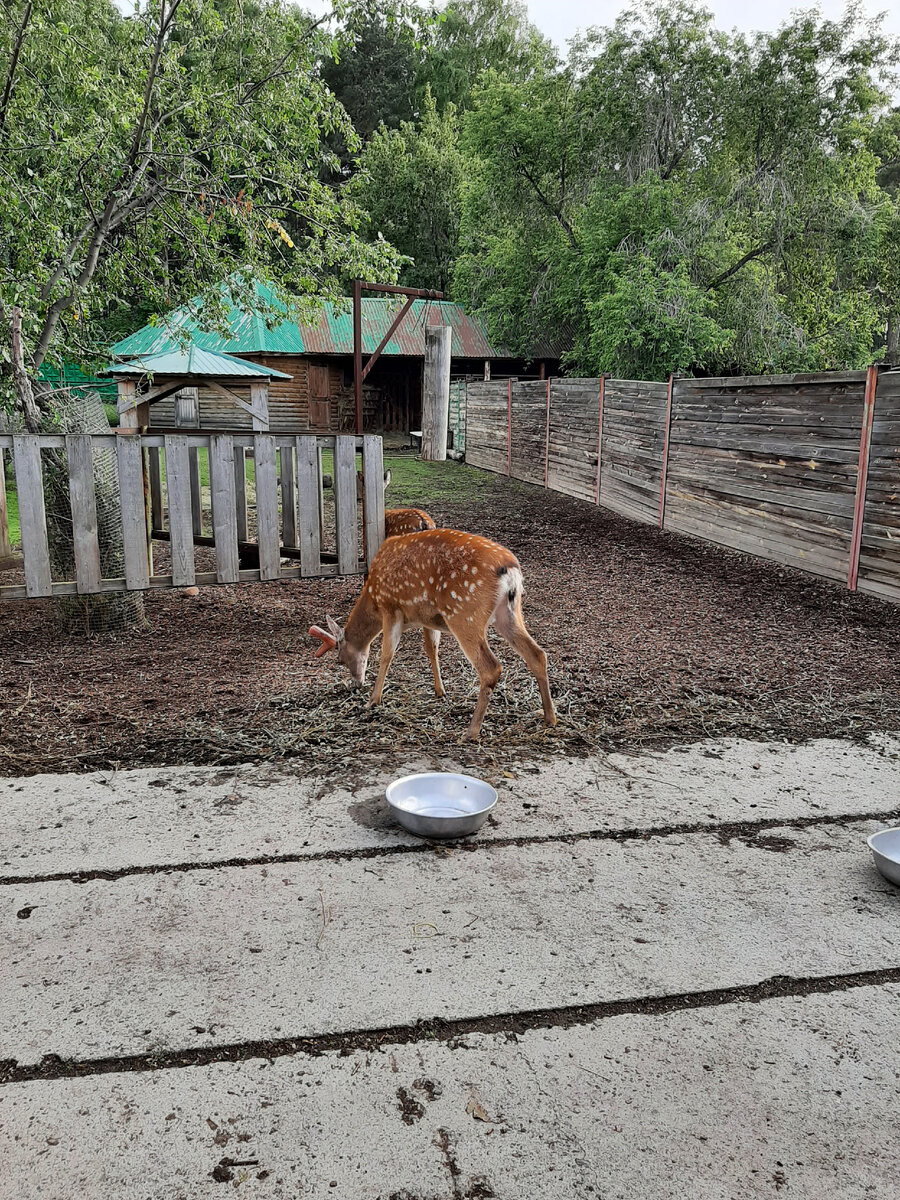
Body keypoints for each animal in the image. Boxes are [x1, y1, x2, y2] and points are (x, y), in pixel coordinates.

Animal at [309, 528, 556, 734]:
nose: (355, 685)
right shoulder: (427, 620)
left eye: (339, 659)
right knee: (537, 654)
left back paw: (470, 732)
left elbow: (387, 654)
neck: (373, 599)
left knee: (491, 667)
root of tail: (510, 571)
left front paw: (373, 700)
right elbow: (431, 648)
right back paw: (549, 718)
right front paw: (440, 691)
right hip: (510, 613)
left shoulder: (391, 607)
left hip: (464, 614)